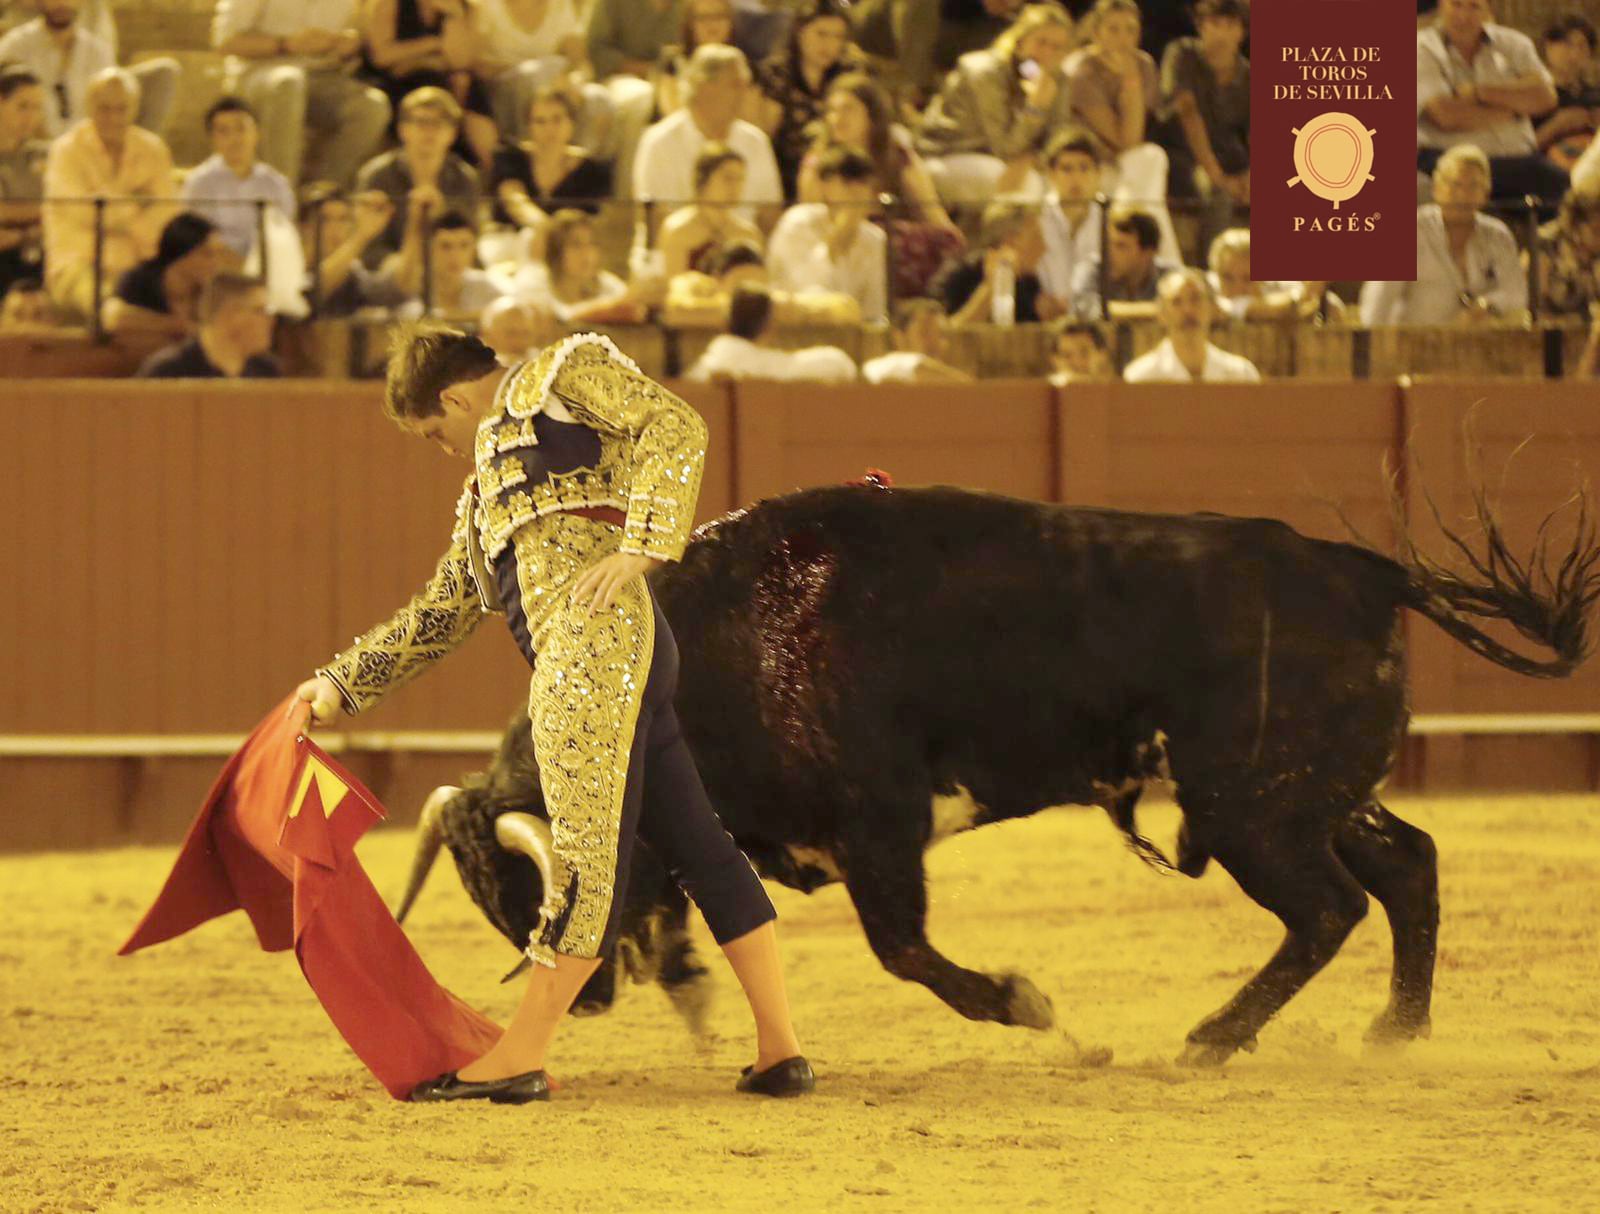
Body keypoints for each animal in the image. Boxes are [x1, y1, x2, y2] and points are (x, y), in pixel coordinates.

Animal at [400, 483, 1600, 1062]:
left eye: (526, 886)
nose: (587, 994)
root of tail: (1361, 570)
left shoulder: (878, 824)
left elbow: (903, 949)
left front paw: (1037, 1010)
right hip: (1310, 794)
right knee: (1408, 868)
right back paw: (1394, 1033)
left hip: (1249, 808)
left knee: (1330, 908)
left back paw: (1210, 1040)